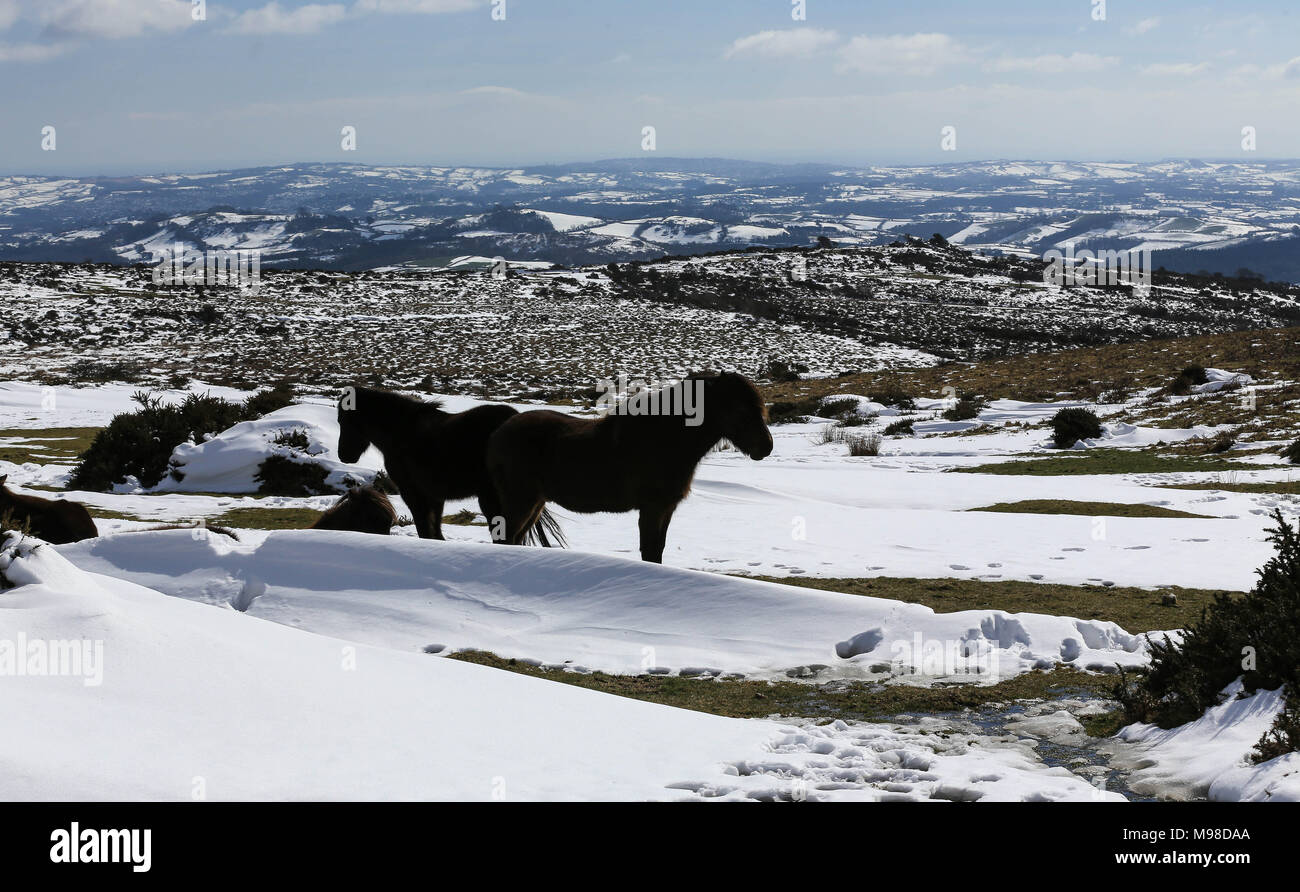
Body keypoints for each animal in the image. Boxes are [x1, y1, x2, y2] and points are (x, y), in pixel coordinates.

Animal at [335, 386, 564, 545]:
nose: (344, 455)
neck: (401, 433)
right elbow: (435, 533)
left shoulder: (413, 493)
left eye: (344, 421)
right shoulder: (435, 496)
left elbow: (425, 531)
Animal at [485, 371, 772, 562]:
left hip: (535, 503)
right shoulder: (652, 508)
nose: (766, 446)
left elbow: (657, 549)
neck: (666, 438)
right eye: (739, 410)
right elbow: (650, 551)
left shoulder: (666, 508)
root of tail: (500, 431)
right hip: (520, 501)